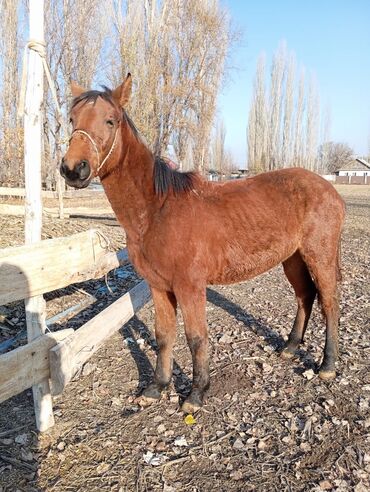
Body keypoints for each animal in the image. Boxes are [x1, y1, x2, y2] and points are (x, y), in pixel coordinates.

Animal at [61, 75, 346, 414]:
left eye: (110, 120)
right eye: (72, 120)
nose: (73, 169)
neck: (157, 209)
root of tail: (329, 189)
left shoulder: (189, 286)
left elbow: (196, 337)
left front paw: (196, 394)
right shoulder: (158, 286)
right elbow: (164, 335)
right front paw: (156, 387)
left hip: (319, 256)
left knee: (329, 303)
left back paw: (327, 365)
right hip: (292, 258)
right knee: (305, 296)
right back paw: (289, 348)